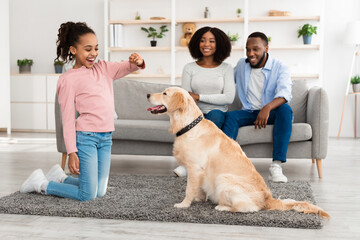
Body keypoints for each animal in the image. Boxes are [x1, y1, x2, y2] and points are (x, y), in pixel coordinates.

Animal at [146, 87, 330, 218]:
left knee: (248, 208)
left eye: (164, 93)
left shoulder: (194, 167)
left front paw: (184, 204)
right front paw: (198, 198)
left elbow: (189, 189)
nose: (147, 94)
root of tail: (269, 199)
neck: (188, 126)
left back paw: (222, 207)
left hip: (223, 179)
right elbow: (197, 188)